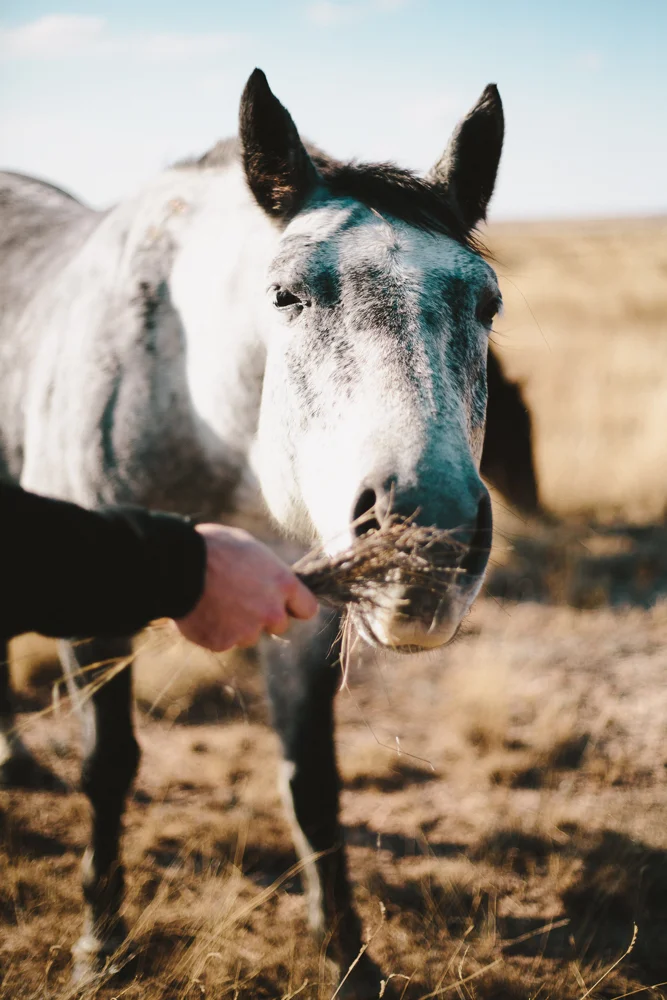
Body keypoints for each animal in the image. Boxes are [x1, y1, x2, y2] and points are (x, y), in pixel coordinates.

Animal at [0, 69, 538, 995]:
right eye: (286, 295)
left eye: (487, 302)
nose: (426, 537)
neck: (192, 403)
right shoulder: (90, 610)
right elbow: (109, 766)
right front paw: (100, 943)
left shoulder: (306, 609)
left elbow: (311, 784)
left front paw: (348, 956)